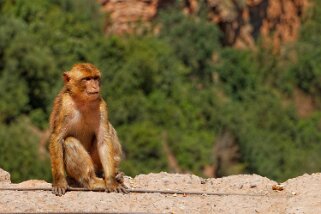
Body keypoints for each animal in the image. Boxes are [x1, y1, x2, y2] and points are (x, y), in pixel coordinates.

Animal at [48, 62, 126, 196]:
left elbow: (103, 139)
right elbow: (56, 138)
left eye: (95, 78)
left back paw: (112, 174)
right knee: (69, 141)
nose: (95, 86)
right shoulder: (64, 107)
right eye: (87, 79)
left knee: (109, 129)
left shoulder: (101, 106)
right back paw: (93, 182)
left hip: (96, 163)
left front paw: (111, 181)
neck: (82, 101)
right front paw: (59, 182)